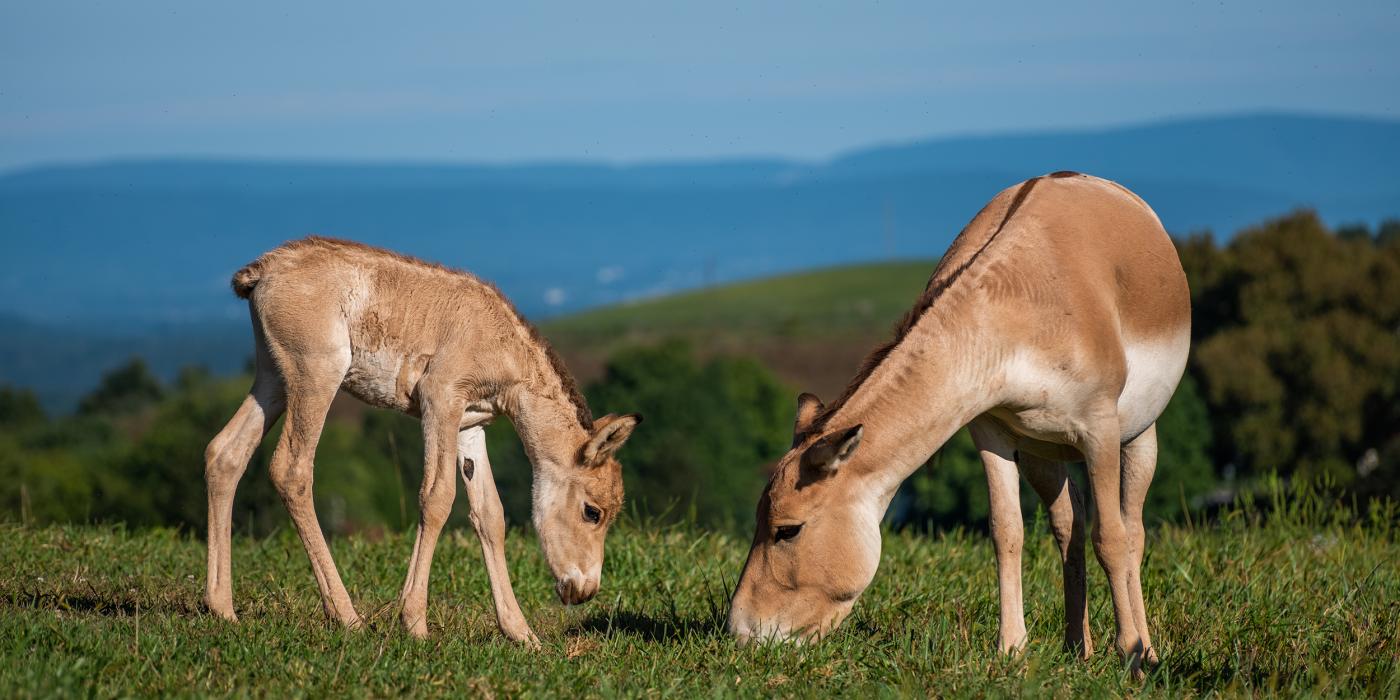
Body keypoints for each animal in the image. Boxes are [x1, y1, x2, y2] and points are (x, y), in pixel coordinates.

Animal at [203, 238, 641, 641]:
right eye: (593, 511)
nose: (584, 591)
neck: (499, 343)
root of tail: (262, 271)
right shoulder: (439, 399)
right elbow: (437, 498)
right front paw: (414, 624)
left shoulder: (470, 426)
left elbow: (490, 515)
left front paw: (522, 635)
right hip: (316, 375)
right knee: (290, 470)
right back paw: (347, 616)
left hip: (273, 379)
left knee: (224, 454)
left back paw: (222, 609)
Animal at [728, 172, 1187, 674]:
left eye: (787, 530)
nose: (740, 633)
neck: (1013, 314)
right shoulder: (992, 431)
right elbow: (1007, 532)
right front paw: (1011, 650)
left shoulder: (1098, 430)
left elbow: (1113, 538)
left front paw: (1129, 653)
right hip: (1043, 452)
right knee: (1071, 526)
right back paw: (1076, 648)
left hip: (1137, 437)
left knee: (1131, 529)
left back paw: (1146, 650)